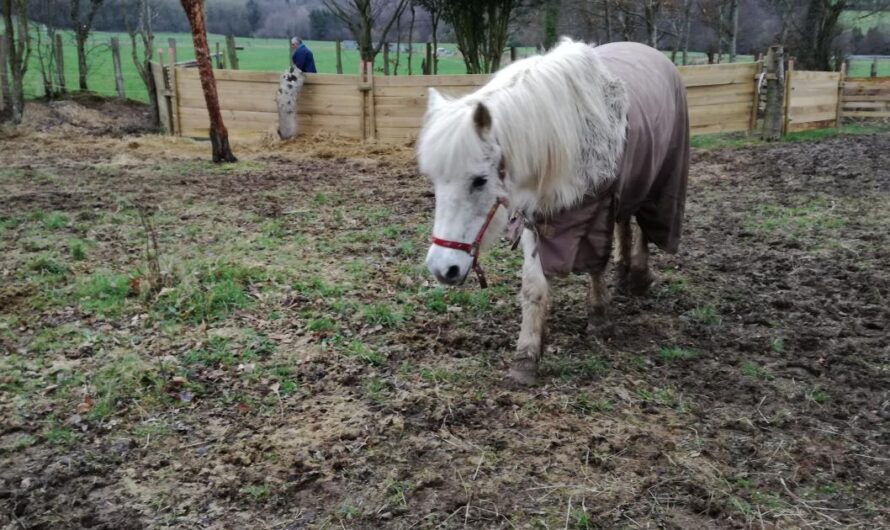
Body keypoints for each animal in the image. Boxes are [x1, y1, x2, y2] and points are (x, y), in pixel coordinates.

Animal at [416, 38, 688, 384]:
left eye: (479, 181)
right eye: (435, 180)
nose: (442, 268)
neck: (569, 132)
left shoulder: (598, 208)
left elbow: (594, 265)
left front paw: (599, 318)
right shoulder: (535, 217)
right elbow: (533, 285)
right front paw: (526, 355)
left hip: (657, 179)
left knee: (643, 225)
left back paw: (638, 275)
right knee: (625, 221)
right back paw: (624, 270)